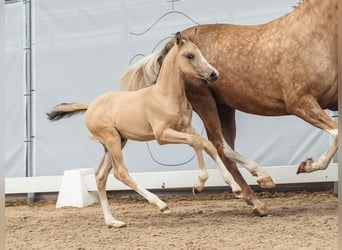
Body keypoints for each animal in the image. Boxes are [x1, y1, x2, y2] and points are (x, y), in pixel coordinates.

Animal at [48, 33, 244, 229]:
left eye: (200, 52)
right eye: (189, 55)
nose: (214, 74)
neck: (166, 95)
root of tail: (89, 107)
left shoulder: (185, 127)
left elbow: (207, 144)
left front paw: (236, 189)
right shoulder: (162, 135)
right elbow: (195, 142)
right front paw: (199, 184)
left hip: (117, 142)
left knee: (100, 176)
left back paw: (113, 221)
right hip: (111, 139)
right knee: (120, 172)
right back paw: (161, 204)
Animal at [119, 0, 336, 217]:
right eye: (191, 55)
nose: (214, 73)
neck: (313, 35)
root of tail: (173, 42)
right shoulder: (300, 102)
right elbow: (336, 134)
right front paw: (307, 165)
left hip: (225, 107)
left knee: (220, 146)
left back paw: (253, 198)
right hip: (204, 101)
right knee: (218, 144)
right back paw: (260, 179)